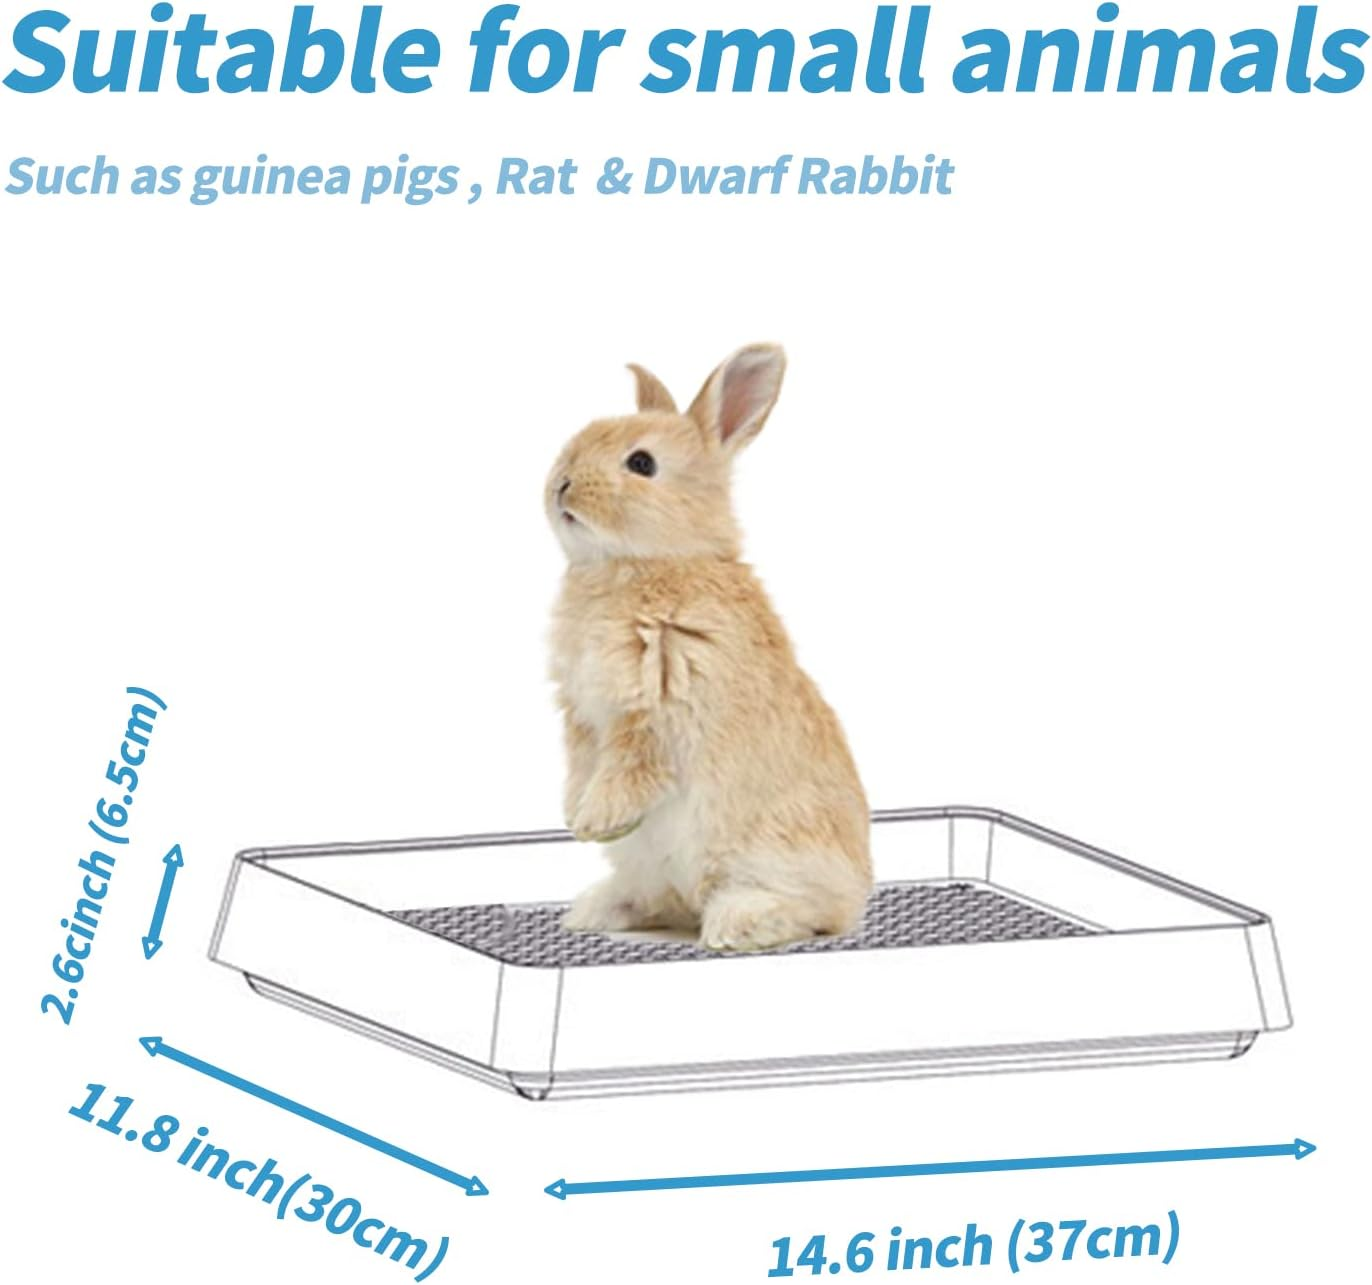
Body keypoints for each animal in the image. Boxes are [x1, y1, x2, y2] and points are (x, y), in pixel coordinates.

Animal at [546, 343, 871, 952]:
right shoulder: (581, 715)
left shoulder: (659, 706)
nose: (561, 484)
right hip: (653, 872)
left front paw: (595, 821)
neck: (650, 562)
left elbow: (629, 767)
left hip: (774, 853)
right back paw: (591, 910)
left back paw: (736, 923)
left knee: (812, 911)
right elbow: (583, 766)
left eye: (641, 464)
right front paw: (574, 817)